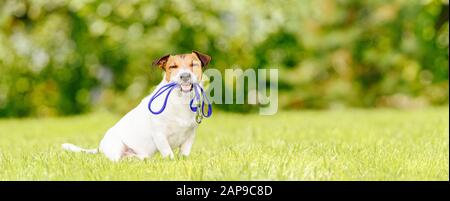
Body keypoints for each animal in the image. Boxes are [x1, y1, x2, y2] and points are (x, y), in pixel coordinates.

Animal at [60, 50, 213, 162]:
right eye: (173, 67)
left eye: (194, 64)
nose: (185, 76)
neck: (181, 100)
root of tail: (100, 147)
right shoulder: (159, 134)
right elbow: (168, 152)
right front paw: (171, 161)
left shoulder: (190, 136)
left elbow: (184, 153)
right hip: (117, 146)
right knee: (117, 160)